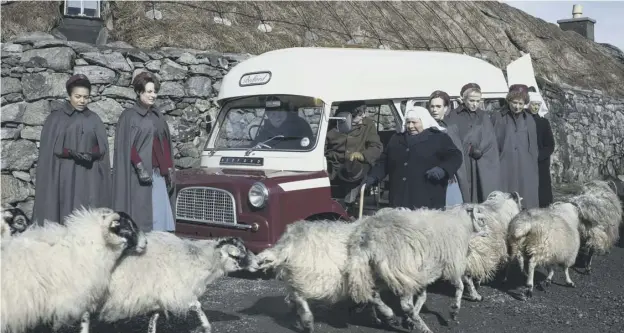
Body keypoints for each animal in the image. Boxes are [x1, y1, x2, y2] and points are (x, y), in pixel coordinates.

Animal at [97, 231, 260, 332]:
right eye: (238, 255)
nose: (258, 263)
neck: (201, 258)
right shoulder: (175, 293)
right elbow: (197, 305)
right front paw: (206, 327)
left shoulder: (159, 297)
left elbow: (153, 319)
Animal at [346, 205, 488, 332]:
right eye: (482, 220)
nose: (488, 232)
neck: (462, 224)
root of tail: (368, 240)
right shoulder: (452, 262)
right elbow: (461, 285)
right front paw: (455, 309)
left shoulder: (424, 272)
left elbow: (423, 296)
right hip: (402, 272)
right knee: (405, 305)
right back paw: (424, 328)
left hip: (375, 273)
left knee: (373, 294)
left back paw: (386, 316)